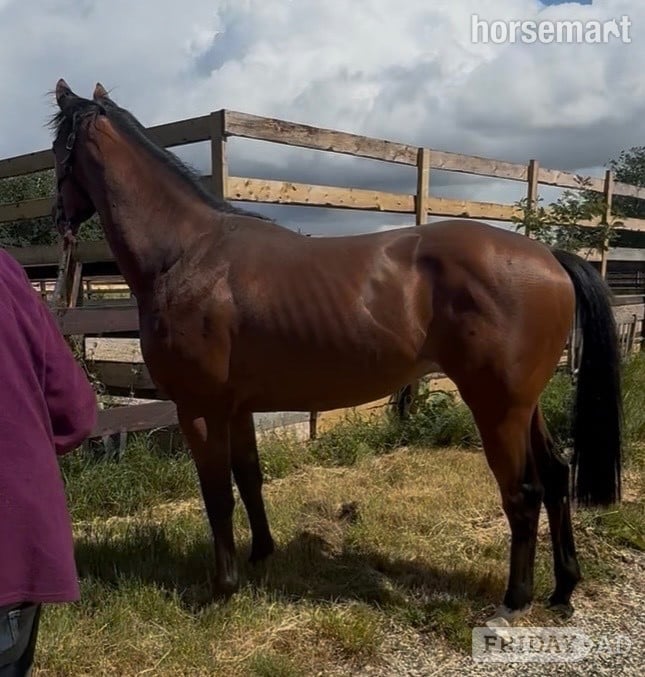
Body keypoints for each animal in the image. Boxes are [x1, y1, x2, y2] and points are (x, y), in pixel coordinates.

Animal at [49, 78, 622, 622]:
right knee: (556, 475)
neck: (187, 254)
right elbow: (249, 479)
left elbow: (215, 493)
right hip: (523, 405)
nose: (57, 218)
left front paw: (222, 588)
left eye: (56, 149)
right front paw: (261, 556)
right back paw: (563, 589)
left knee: (523, 494)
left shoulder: (200, 409)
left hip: (496, 407)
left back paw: (515, 600)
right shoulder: (236, 408)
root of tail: (549, 256)